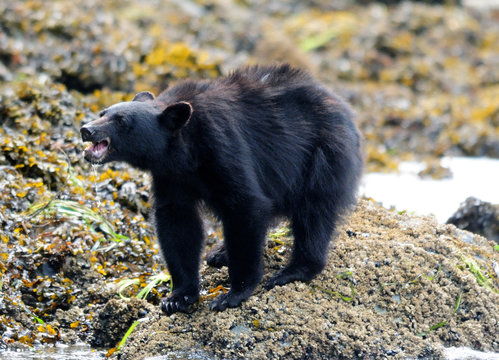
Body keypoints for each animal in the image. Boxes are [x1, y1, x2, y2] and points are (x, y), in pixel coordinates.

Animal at [81, 64, 364, 316]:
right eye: (103, 112)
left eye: (122, 121)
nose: (86, 129)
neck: (183, 150)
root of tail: (345, 111)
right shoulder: (171, 176)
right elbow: (178, 222)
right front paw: (178, 296)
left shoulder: (223, 146)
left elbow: (245, 206)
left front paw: (233, 293)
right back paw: (219, 253)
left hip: (321, 157)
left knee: (313, 215)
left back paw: (293, 271)